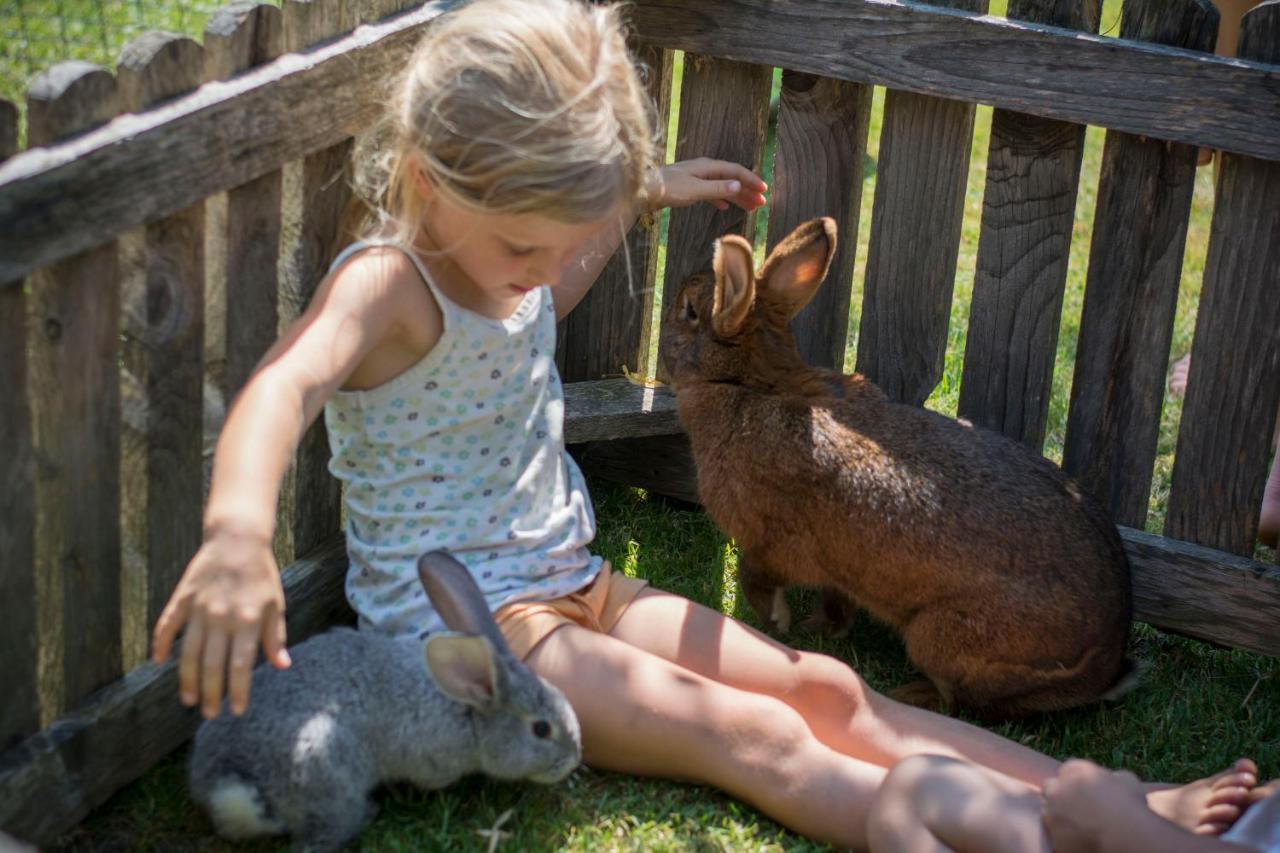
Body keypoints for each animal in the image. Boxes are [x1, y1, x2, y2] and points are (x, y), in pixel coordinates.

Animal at [660, 216, 1131, 712]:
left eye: (690, 310)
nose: (670, 312)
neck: (751, 382)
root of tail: (1103, 668)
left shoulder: (773, 543)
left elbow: (756, 576)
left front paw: (778, 622)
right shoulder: (836, 570)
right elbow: (837, 599)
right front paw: (820, 629)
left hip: (938, 637)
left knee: (964, 701)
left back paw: (910, 693)